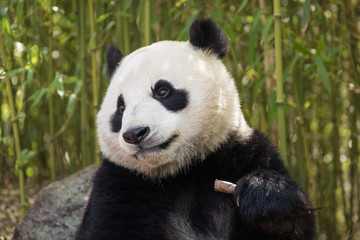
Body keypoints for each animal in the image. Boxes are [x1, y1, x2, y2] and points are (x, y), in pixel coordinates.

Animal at [76, 17, 316, 239]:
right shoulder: (119, 183)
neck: (183, 171)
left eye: (162, 91)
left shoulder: (243, 154)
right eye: (121, 107)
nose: (135, 134)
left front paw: (266, 197)